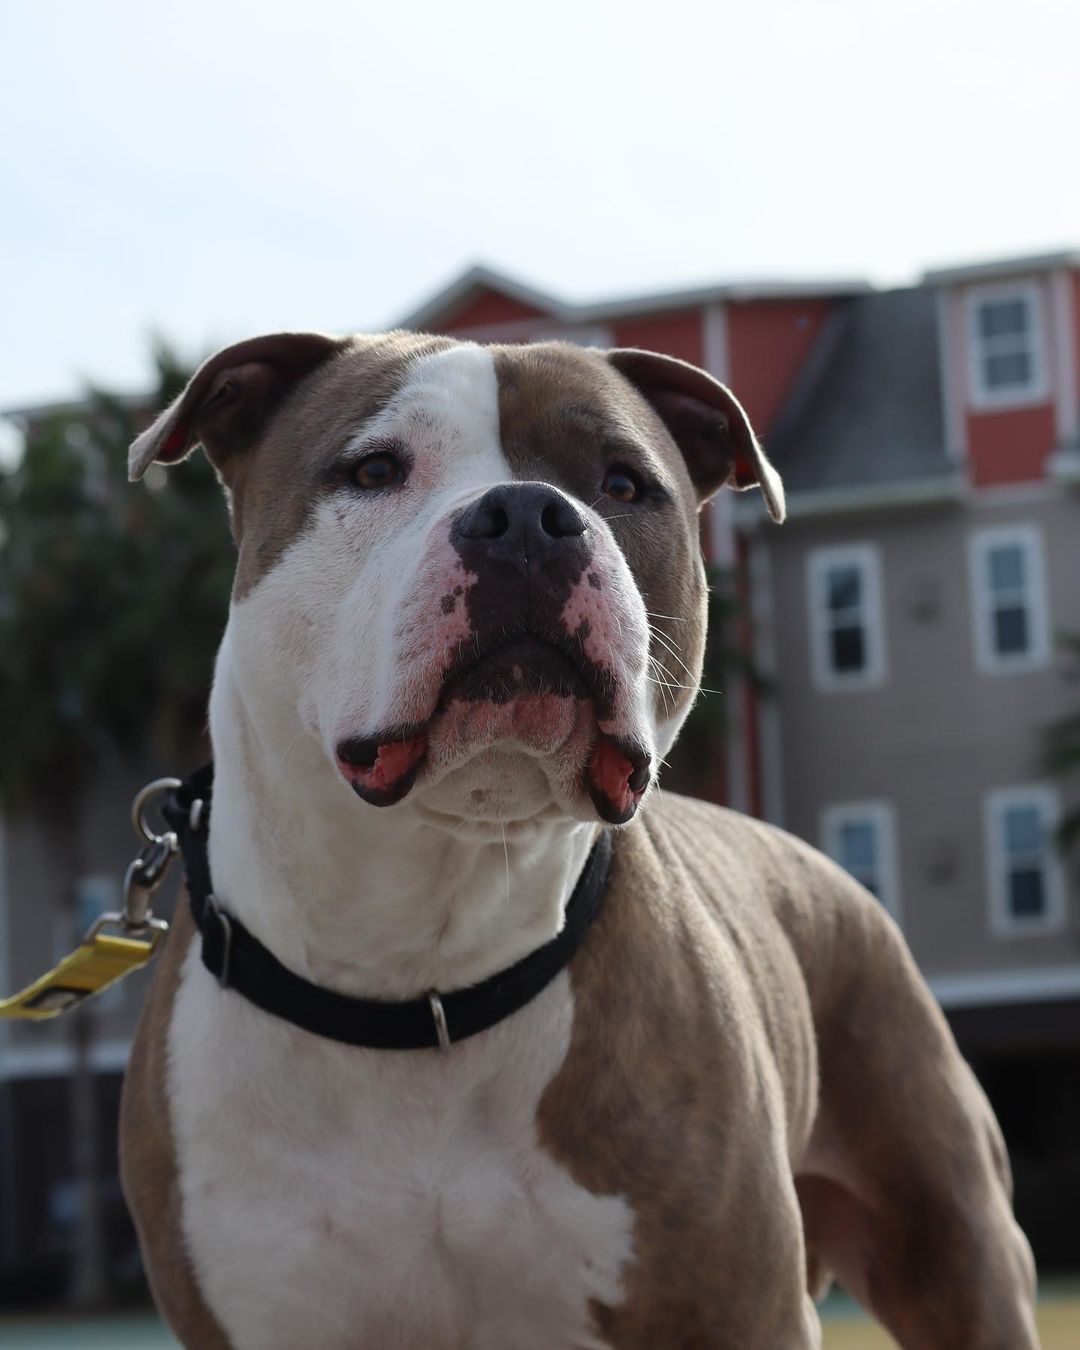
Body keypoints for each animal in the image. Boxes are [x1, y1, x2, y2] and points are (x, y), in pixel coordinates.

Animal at [118, 329, 1036, 1350]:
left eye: (625, 483)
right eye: (374, 469)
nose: (525, 515)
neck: (422, 969)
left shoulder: (740, 1309)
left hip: (958, 1251)